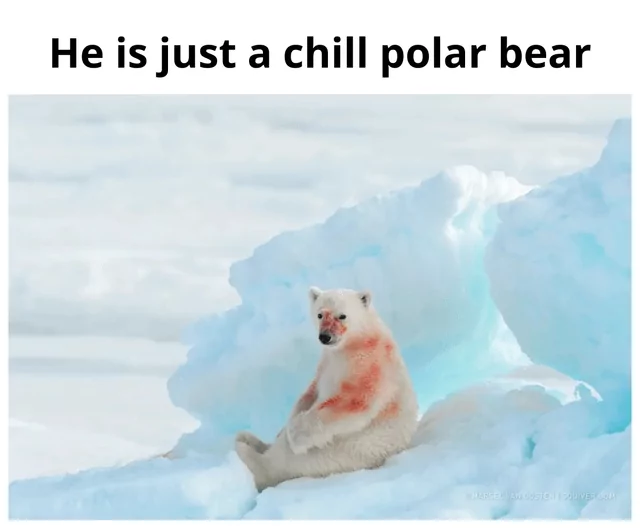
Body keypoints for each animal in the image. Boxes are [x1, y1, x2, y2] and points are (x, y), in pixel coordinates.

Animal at [235, 286, 418, 492]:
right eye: (320, 314)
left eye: (342, 316)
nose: (325, 337)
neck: (354, 344)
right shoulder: (326, 362)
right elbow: (310, 392)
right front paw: (285, 427)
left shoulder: (371, 364)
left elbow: (353, 401)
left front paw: (294, 436)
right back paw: (251, 439)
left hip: (340, 453)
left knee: (283, 463)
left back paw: (246, 449)